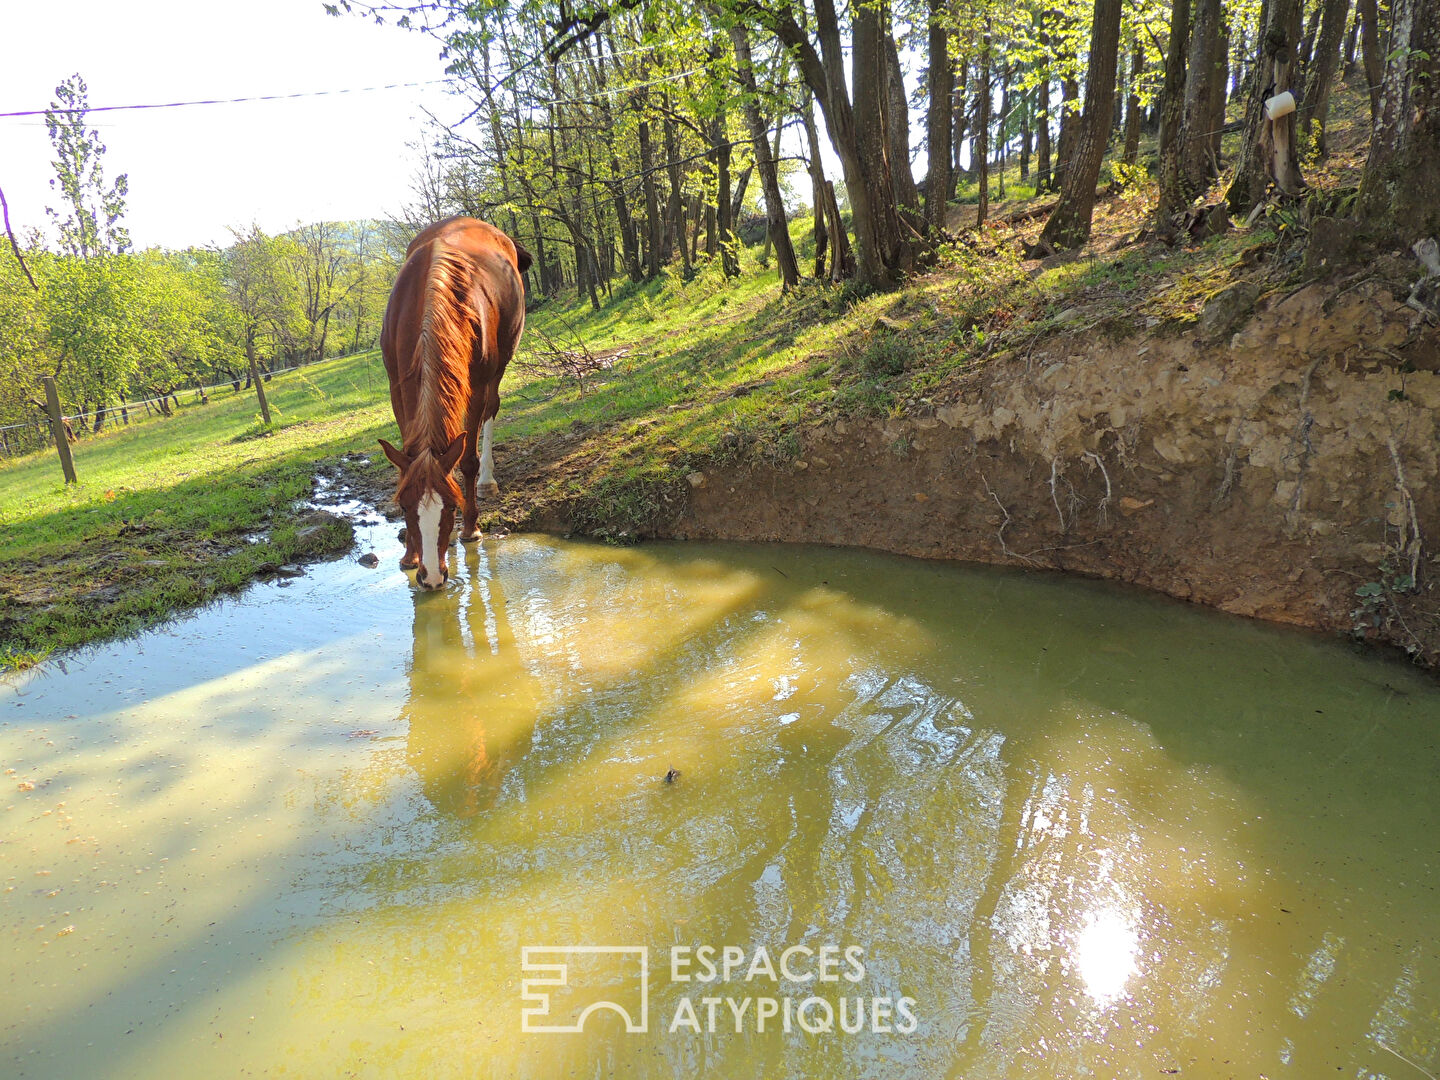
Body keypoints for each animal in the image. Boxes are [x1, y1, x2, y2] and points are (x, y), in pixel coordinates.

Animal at [380, 218, 532, 587]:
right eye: (404, 507)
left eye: (452, 506)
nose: (433, 577)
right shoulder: (397, 387)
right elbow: (406, 462)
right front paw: (410, 556)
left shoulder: (475, 385)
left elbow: (467, 460)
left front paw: (470, 529)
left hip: (498, 368)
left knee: (492, 410)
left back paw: (487, 482)